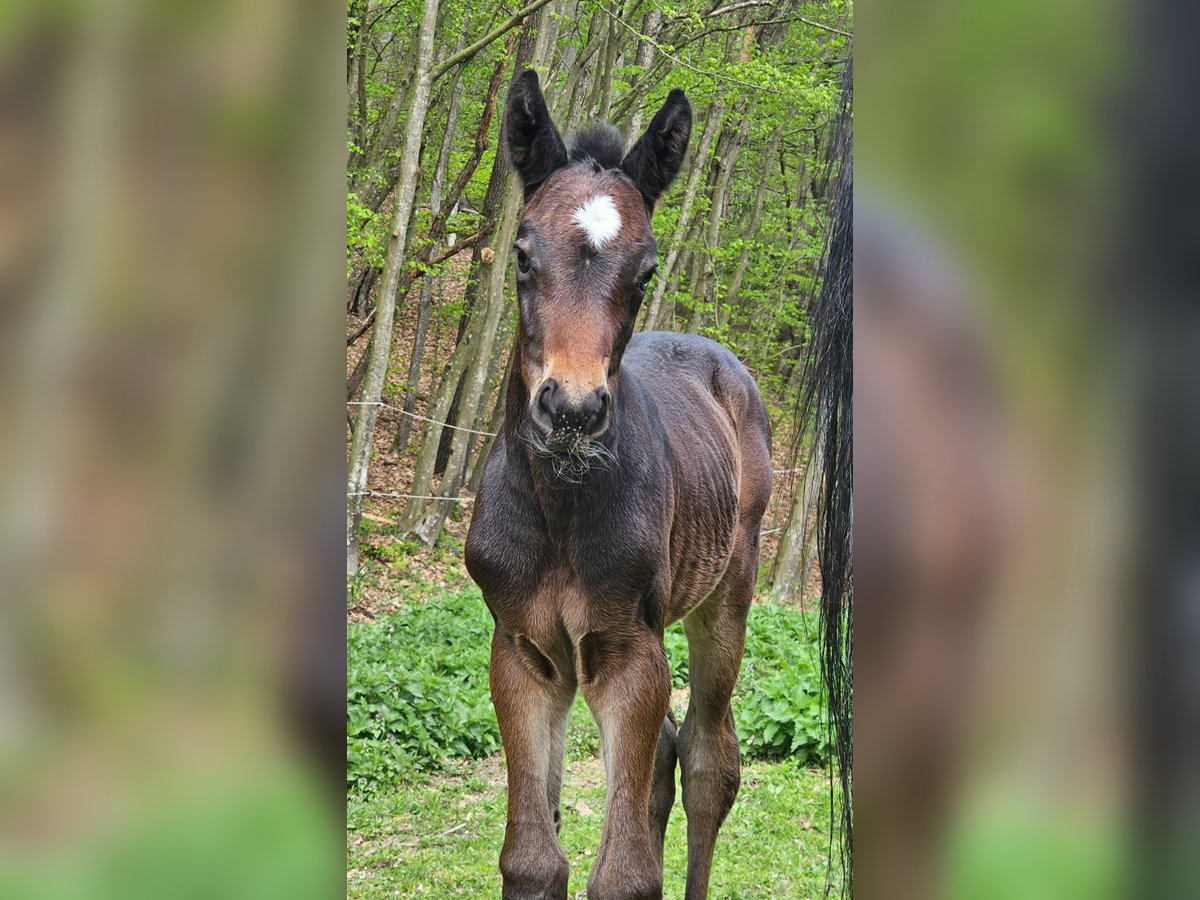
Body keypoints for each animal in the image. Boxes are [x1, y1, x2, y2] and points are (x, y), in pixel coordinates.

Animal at [463, 72, 772, 900]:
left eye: (646, 271)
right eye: (521, 253)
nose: (571, 411)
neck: (559, 510)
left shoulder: (631, 650)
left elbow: (626, 874)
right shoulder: (523, 652)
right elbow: (534, 857)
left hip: (726, 597)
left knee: (707, 759)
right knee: (667, 759)